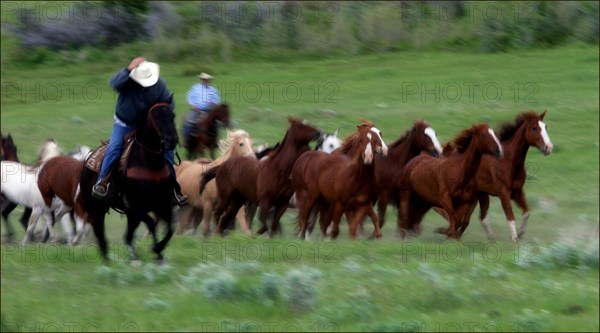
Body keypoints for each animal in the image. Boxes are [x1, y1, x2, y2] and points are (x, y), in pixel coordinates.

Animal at [81, 98, 182, 262]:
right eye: (156, 116)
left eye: (172, 115)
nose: (171, 140)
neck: (149, 163)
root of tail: (88, 159)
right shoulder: (135, 206)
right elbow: (151, 224)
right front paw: (156, 250)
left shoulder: (162, 205)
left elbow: (170, 228)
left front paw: (159, 251)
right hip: (96, 209)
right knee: (101, 236)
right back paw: (108, 261)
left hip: (129, 215)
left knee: (126, 236)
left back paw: (134, 258)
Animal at [432, 110, 552, 240]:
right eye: (534, 128)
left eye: (545, 127)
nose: (548, 147)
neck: (507, 160)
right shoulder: (503, 193)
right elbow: (510, 218)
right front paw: (515, 239)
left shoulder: (517, 192)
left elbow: (527, 212)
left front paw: (520, 233)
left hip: (478, 197)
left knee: (474, 219)